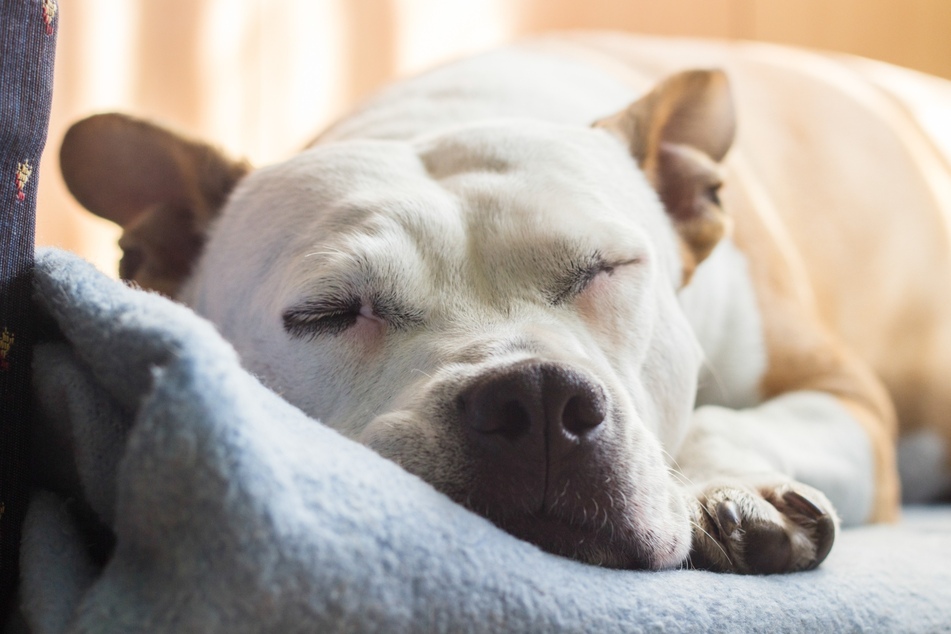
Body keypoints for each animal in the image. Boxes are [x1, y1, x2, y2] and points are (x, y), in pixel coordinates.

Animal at [57, 37, 951, 576]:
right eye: (327, 312)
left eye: (606, 269)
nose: (536, 395)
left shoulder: (848, 399)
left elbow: (722, 419)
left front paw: (729, 488)